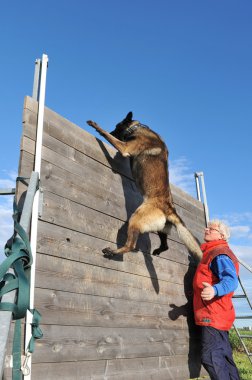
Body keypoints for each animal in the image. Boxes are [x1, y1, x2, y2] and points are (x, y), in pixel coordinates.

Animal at [86, 113, 203, 262]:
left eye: (117, 126)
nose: (112, 131)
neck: (136, 128)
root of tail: (169, 208)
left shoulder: (125, 148)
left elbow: (106, 134)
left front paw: (96, 126)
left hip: (135, 218)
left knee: (130, 245)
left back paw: (112, 251)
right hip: (161, 228)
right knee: (165, 246)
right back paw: (157, 251)